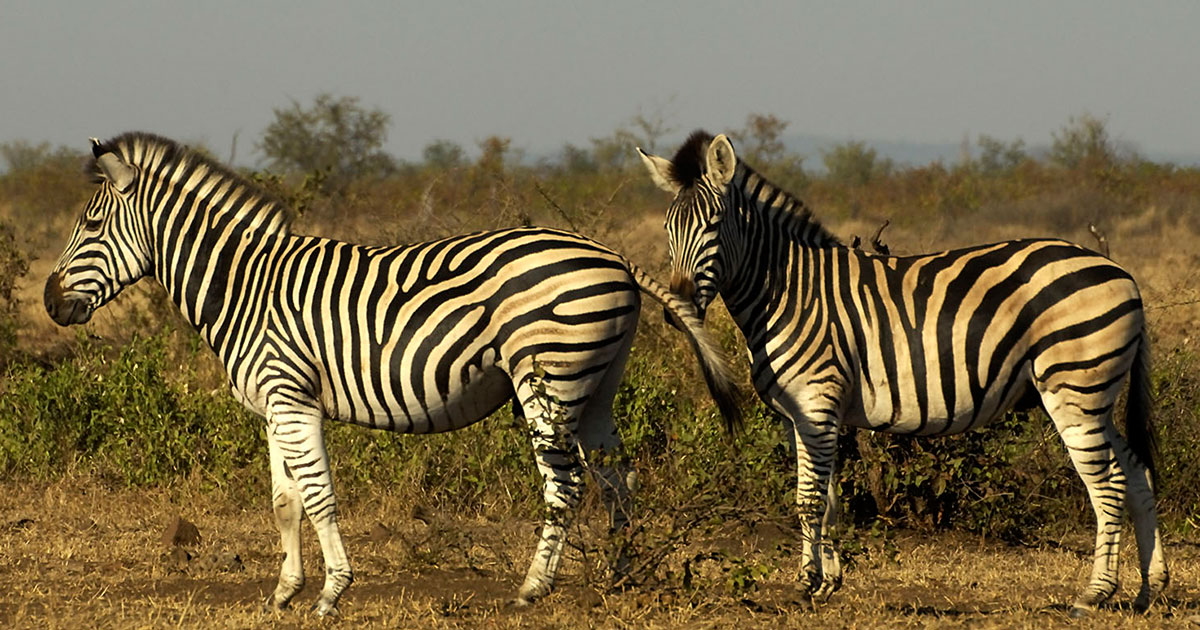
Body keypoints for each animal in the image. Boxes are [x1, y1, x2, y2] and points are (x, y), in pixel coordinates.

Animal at [44, 132, 741, 616]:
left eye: (91, 223)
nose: (50, 303)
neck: (244, 285)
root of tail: (614, 256)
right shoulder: (274, 405)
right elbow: (283, 503)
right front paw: (283, 593)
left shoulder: (293, 397)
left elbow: (318, 497)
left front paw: (332, 594)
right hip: (598, 385)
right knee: (619, 479)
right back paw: (617, 577)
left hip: (549, 378)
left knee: (566, 485)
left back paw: (531, 589)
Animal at [638, 131, 1168, 615]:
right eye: (667, 228)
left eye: (713, 225)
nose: (675, 310)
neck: (788, 290)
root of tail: (1122, 272)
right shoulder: (802, 415)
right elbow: (823, 497)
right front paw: (824, 582)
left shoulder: (817, 401)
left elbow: (809, 498)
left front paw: (807, 585)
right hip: (1095, 393)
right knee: (1137, 471)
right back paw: (1150, 589)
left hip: (1075, 388)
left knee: (1108, 485)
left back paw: (1095, 594)